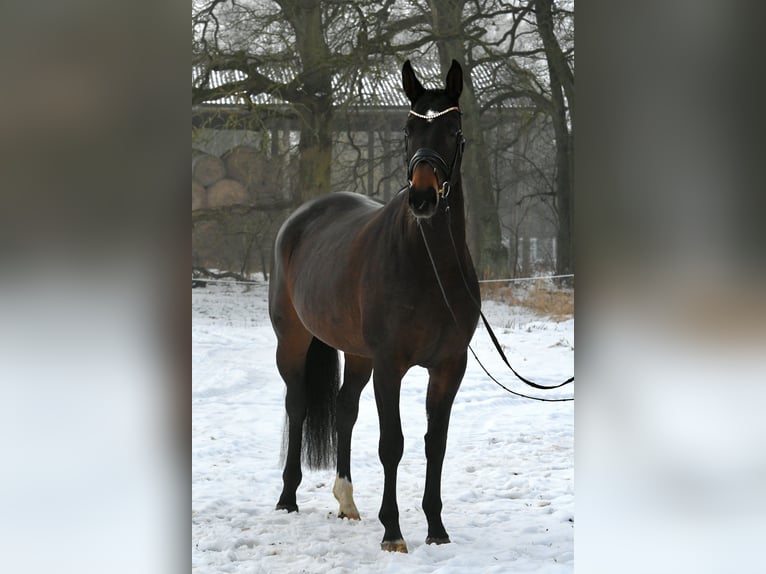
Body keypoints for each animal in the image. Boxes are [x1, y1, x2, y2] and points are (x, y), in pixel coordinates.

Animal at [268, 59, 480, 553]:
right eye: (408, 128)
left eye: (453, 128)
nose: (422, 198)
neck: (431, 266)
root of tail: (299, 218)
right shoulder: (390, 365)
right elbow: (392, 444)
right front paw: (393, 532)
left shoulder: (449, 366)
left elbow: (435, 443)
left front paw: (436, 529)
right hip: (293, 343)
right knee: (297, 404)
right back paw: (288, 498)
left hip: (356, 353)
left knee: (345, 408)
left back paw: (346, 502)